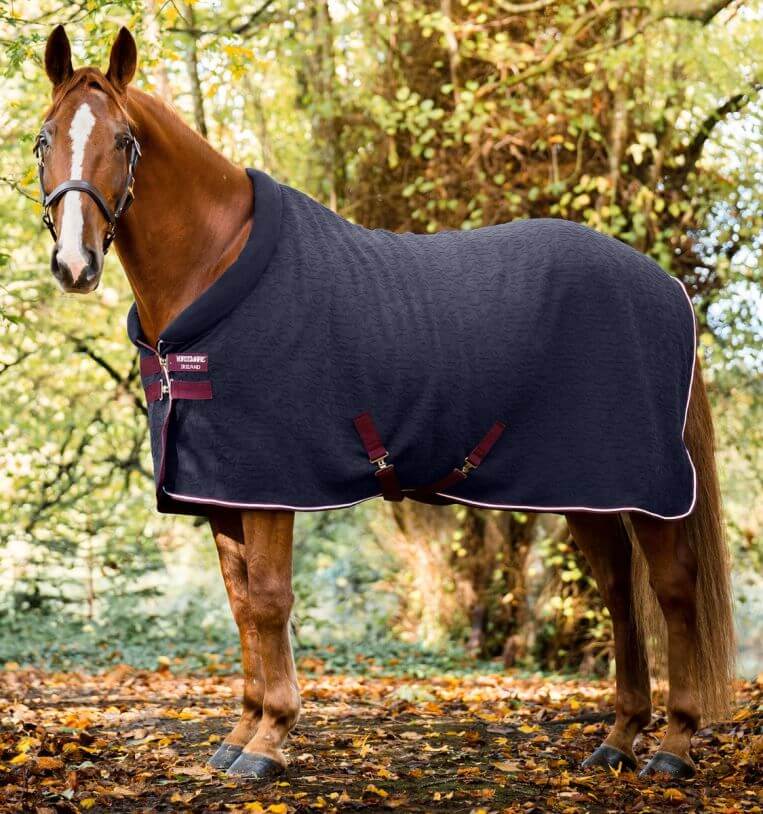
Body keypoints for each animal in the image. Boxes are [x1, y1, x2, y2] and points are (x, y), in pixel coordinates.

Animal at [34, 25, 734, 781]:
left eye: (124, 141)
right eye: (44, 139)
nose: (75, 264)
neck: (213, 272)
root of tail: (664, 285)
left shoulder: (270, 486)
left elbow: (270, 601)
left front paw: (270, 740)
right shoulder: (217, 491)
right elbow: (242, 606)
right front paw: (240, 733)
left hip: (646, 490)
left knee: (672, 589)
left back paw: (671, 746)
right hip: (588, 492)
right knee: (617, 593)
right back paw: (617, 737)